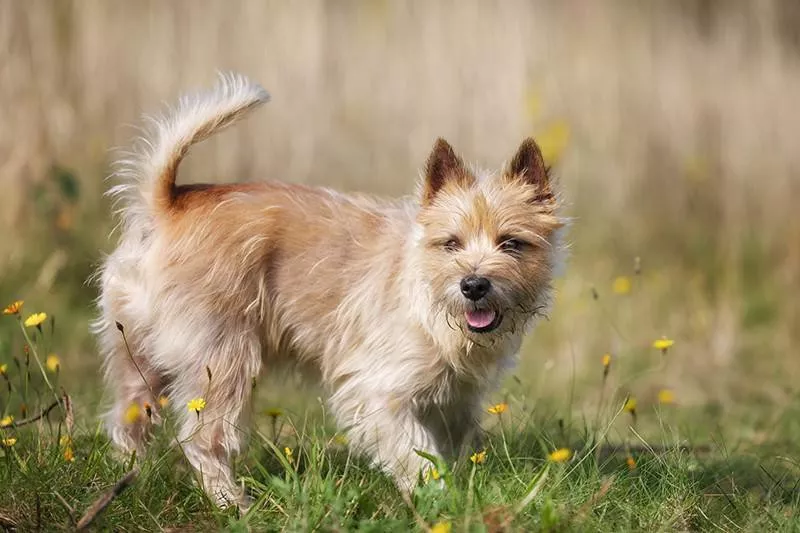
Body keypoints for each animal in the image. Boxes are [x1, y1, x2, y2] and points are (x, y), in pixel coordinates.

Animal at [90, 72, 564, 504]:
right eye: (451, 243)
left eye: (511, 243)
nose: (474, 285)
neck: (429, 300)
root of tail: (166, 204)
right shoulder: (377, 391)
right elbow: (415, 453)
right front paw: (437, 496)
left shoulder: (454, 400)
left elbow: (451, 445)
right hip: (223, 360)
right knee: (202, 439)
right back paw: (232, 502)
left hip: (138, 358)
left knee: (126, 419)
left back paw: (128, 479)